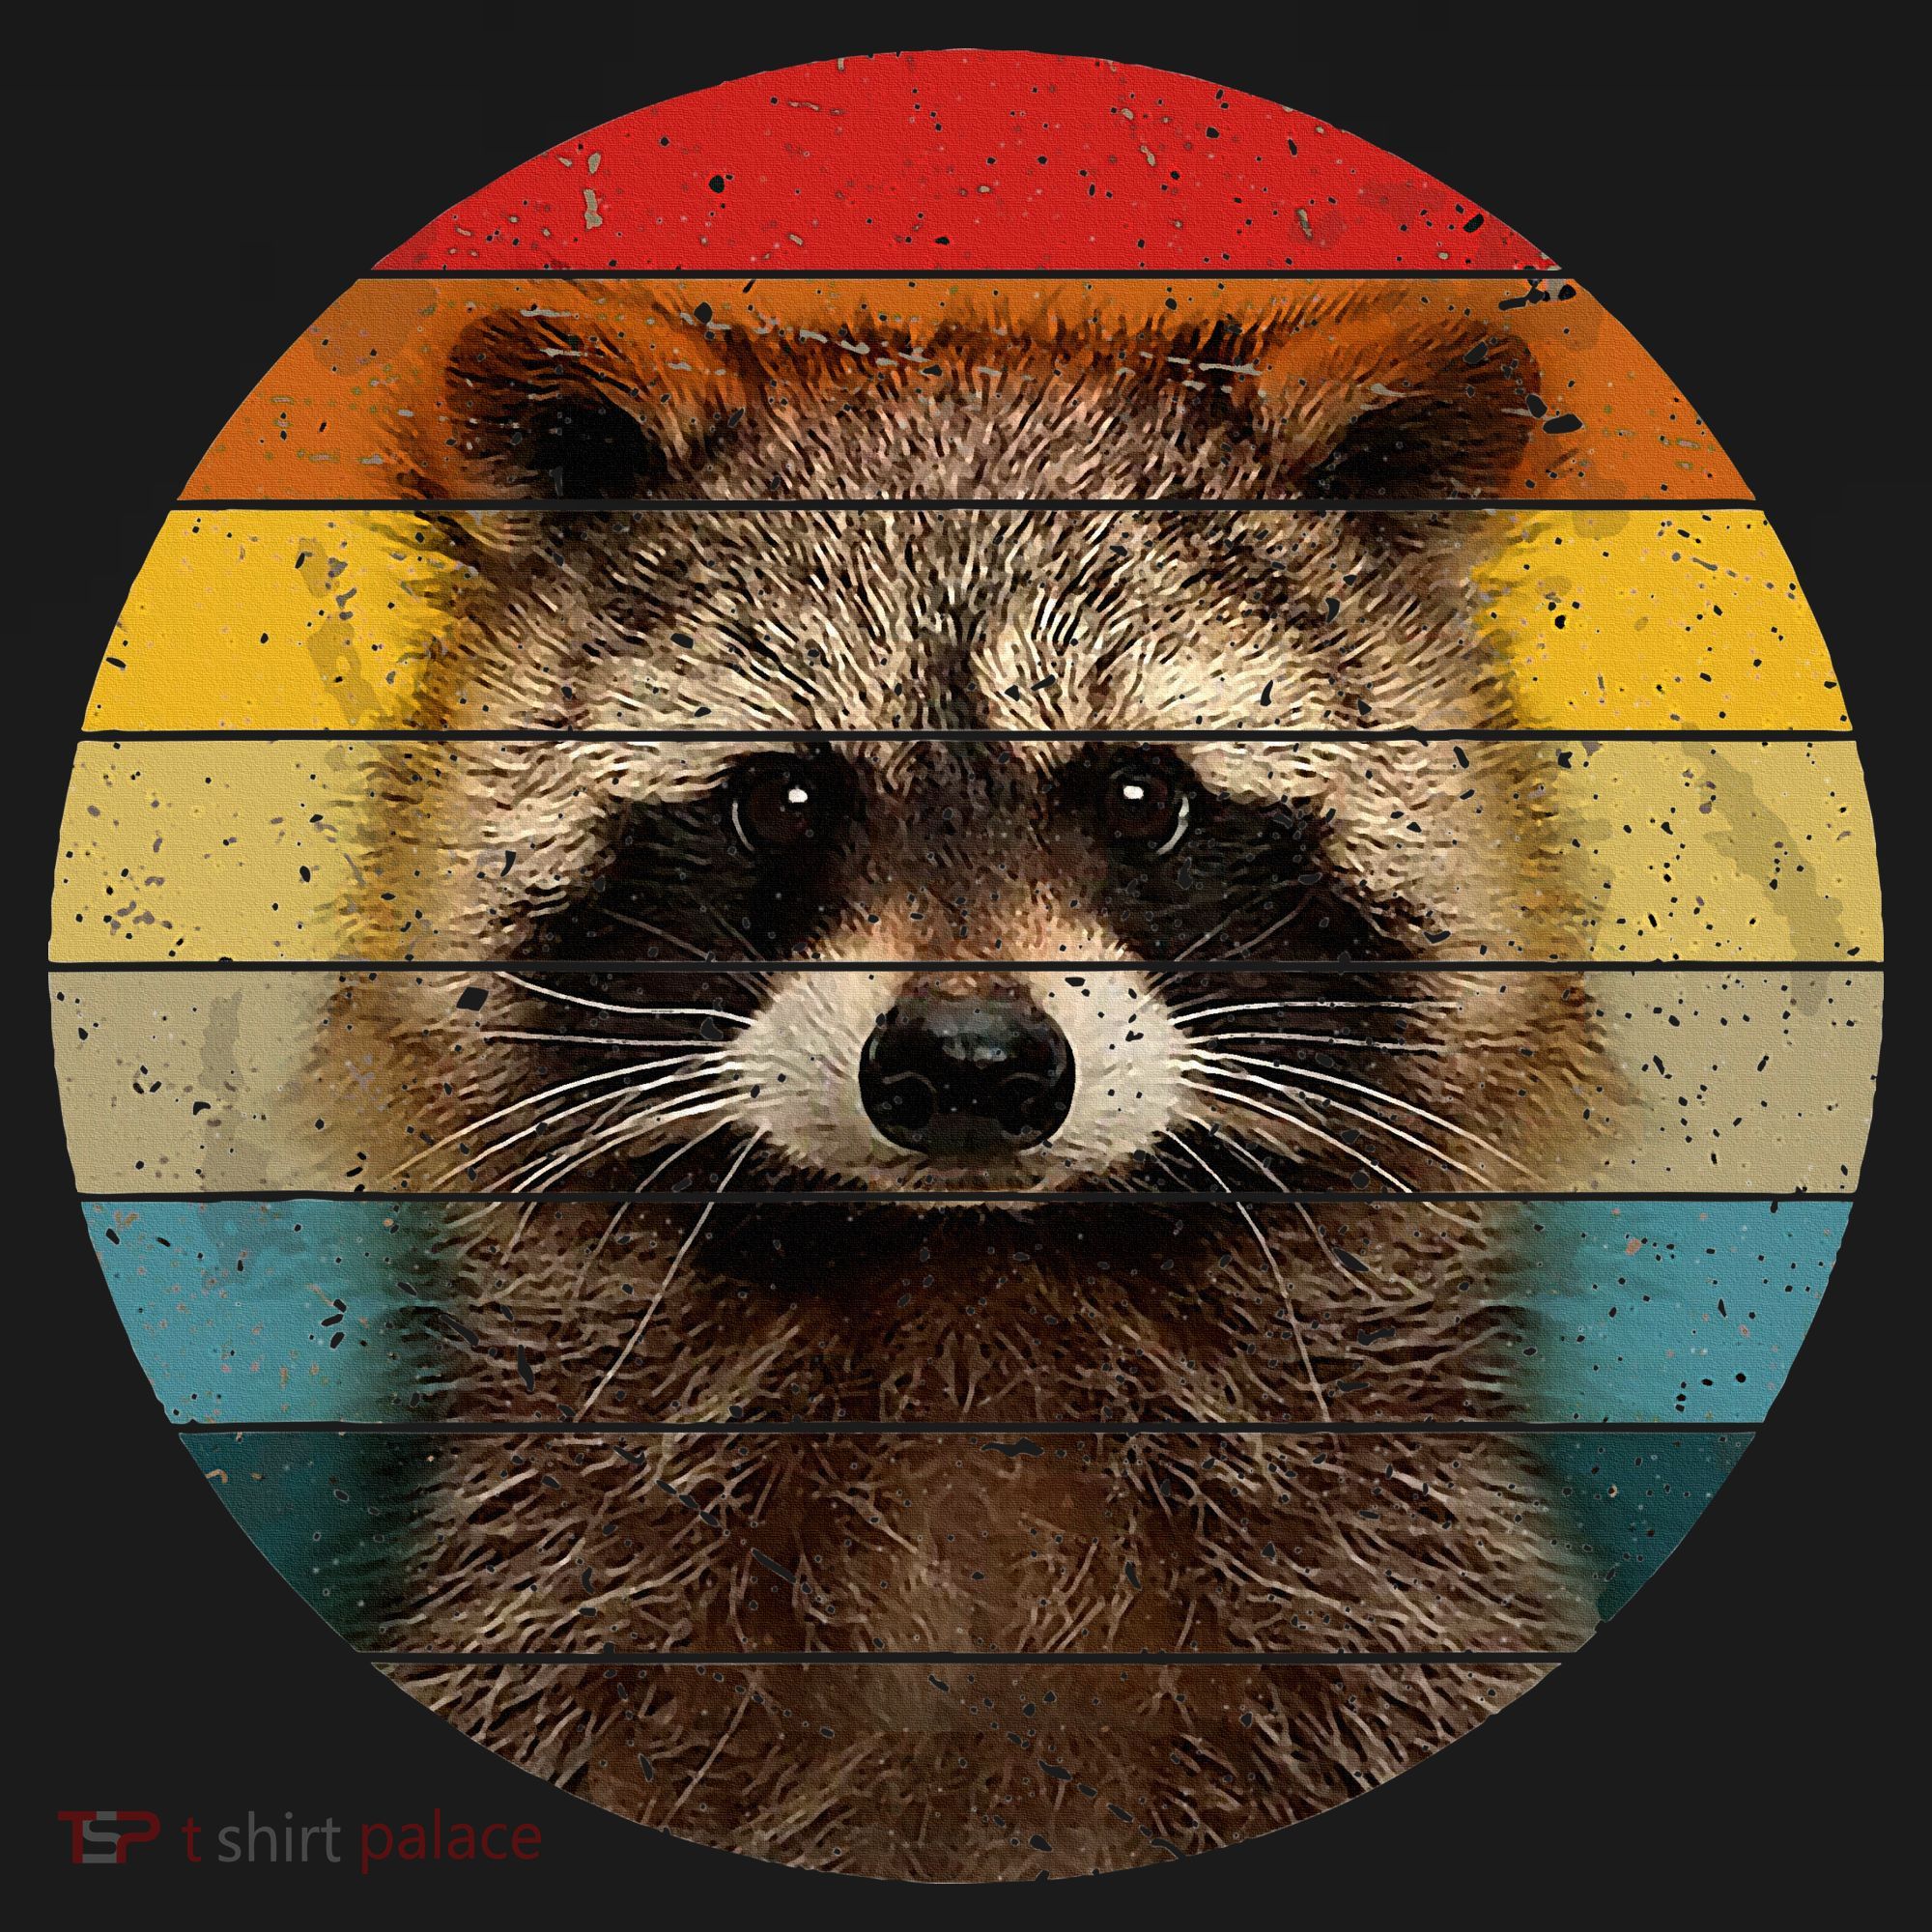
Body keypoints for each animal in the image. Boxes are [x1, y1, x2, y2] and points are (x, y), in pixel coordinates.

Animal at [330, 288, 1606, 1877]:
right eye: (785, 798)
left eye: (1139, 794)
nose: (968, 1064)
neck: (969, 1283)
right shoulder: (556, 1591)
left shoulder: (1396, 1588)